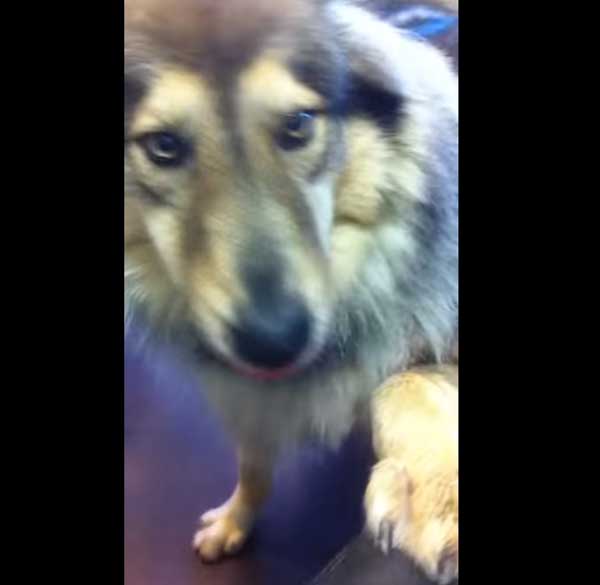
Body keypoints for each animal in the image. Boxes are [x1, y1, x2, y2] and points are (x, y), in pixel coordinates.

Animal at [124, 0, 458, 582]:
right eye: (162, 147)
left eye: (298, 126)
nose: (274, 341)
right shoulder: (249, 398)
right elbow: (253, 464)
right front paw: (236, 519)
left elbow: (404, 382)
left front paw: (433, 493)